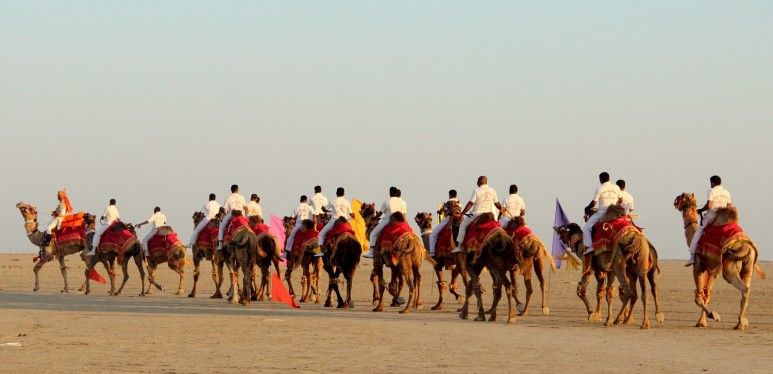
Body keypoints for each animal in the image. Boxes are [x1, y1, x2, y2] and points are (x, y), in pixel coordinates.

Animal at [672, 193, 764, 330]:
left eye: (682, 197)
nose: (675, 202)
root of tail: (747, 245)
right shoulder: (713, 270)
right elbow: (707, 294)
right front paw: (702, 322)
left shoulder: (699, 265)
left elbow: (699, 297)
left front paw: (711, 316)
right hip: (748, 266)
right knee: (746, 287)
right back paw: (740, 323)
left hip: (730, 267)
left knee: (744, 289)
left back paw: (740, 323)